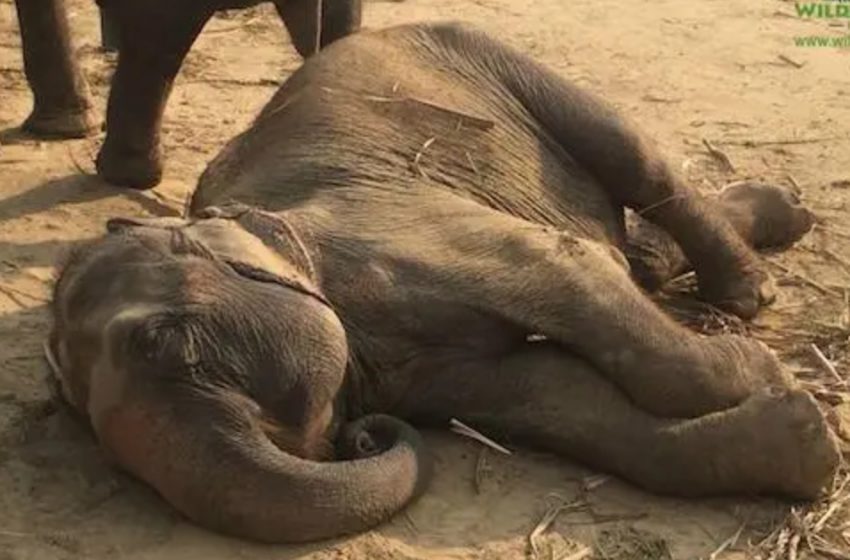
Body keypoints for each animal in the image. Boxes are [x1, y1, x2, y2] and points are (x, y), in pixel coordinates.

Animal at [49, 21, 840, 544]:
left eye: (166, 343)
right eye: (80, 416)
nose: (361, 436)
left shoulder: (407, 235)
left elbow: (569, 271)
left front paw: (764, 374)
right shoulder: (426, 371)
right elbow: (565, 404)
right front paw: (805, 447)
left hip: (501, 61)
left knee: (636, 162)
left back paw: (748, 293)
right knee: (634, 246)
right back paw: (780, 221)